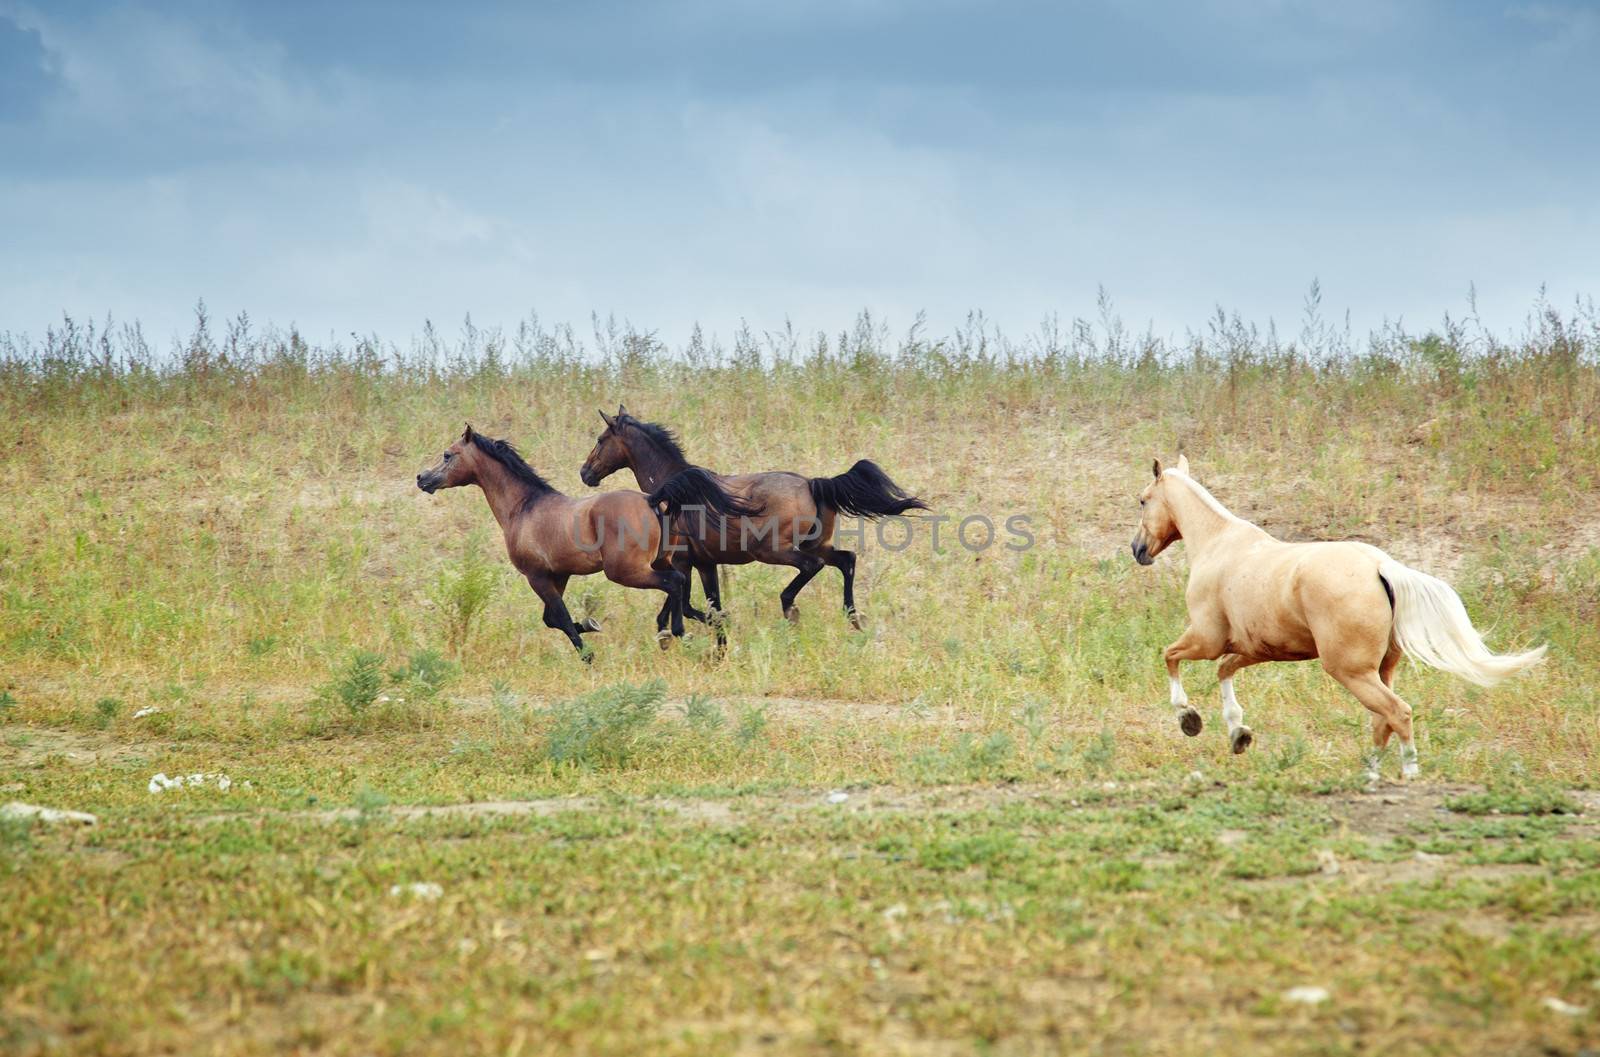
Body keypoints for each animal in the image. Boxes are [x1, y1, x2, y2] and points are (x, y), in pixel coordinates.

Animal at [419, 425, 755, 655]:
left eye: (447, 455)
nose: (422, 478)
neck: (524, 507)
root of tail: (651, 501)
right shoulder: (559, 575)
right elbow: (551, 619)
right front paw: (591, 625)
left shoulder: (536, 576)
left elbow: (561, 618)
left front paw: (587, 655)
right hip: (662, 560)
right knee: (680, 585)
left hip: (625, 571)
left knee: (673, 583)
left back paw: (677, 634)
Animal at [576, 404, 928, 636]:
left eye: (600, 439)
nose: (585, 473)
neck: (671, 488)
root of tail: (812, 484)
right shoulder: (705, 563)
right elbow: (703, 603)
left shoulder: (683, 562)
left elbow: (688, 605)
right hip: (817, 544)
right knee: (847, 560)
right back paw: (853, 618)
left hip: (774, 550)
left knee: (811, 567)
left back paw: (791, 609)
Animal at [1132, 450, 1542, 780]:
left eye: (1142, 500)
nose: (1137, 550)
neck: (1219, 543)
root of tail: (1381, 567)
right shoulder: (1253, 650)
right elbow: (1224, 672)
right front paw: (1238, 734)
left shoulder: (1206, 639)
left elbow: (1170, 657)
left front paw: (1189, 719)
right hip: (1380, 671)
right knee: (1382, 720)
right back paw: (1370, 774)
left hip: (1351, 671)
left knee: (1398, 713)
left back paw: (1408, 772)